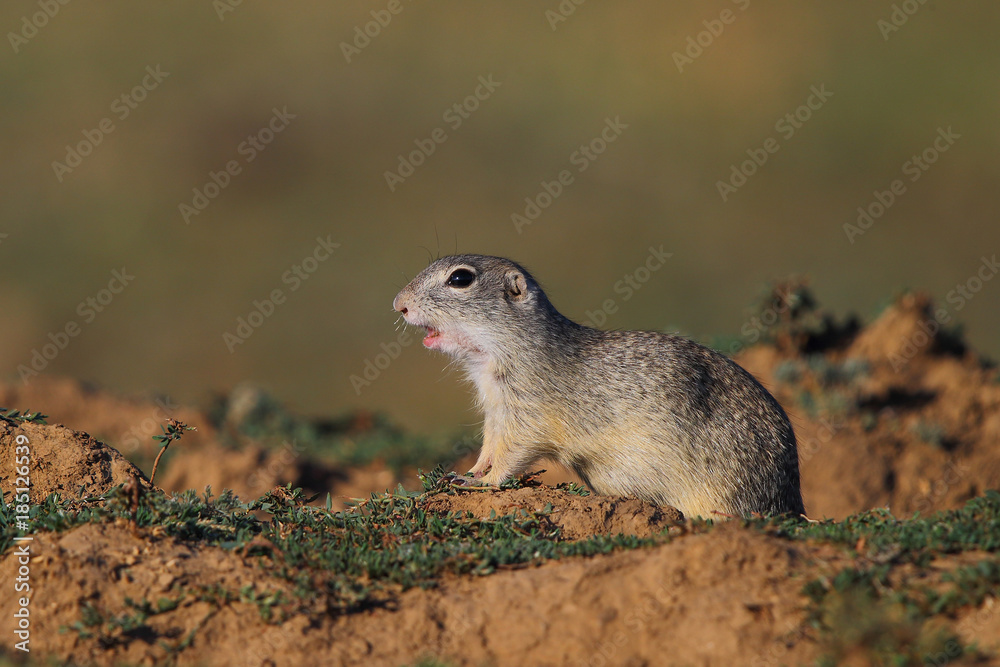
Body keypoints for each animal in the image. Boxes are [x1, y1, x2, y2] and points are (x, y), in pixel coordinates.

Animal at [393, 254, 804, 518]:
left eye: (460, 279)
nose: (398, 303)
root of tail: (792, 500)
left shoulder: (528, 413)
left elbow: (513, 454)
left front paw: (480, 482)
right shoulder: (496, 411)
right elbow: (489, 446)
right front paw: (470, 470)